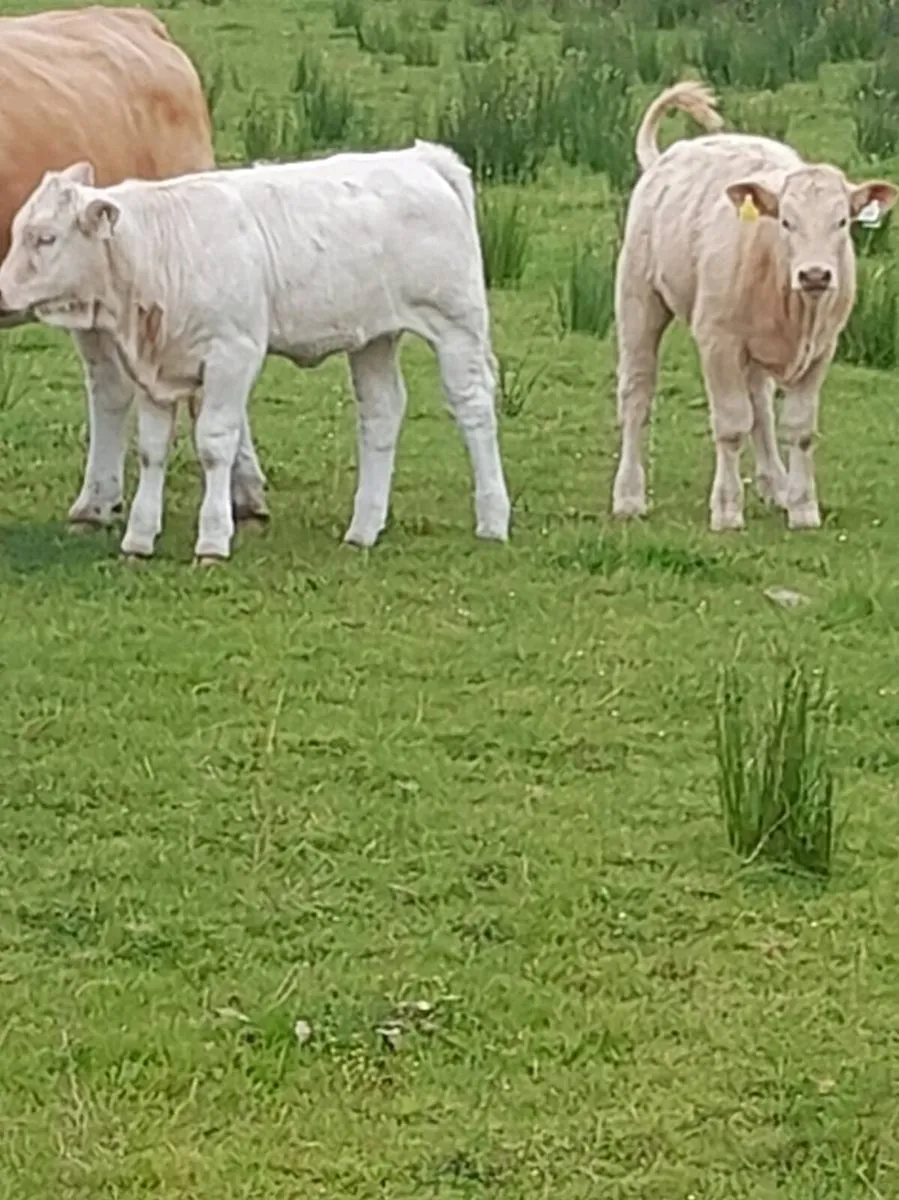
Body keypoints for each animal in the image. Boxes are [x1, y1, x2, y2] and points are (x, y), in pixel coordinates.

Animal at [0, 142, 512, 563]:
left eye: (45, 238)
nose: (2, 296)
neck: (161, 248)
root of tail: (421, 158)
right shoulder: (154, 366)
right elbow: (151, 450)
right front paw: (139, 539)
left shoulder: (233, 353)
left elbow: (213, 444)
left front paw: (212, 541)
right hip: (373, 337)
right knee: (381, 413)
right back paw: (363, 529)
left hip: (456, 324)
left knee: (473, 406)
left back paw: (493, 519)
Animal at [611, 79, 898, 533]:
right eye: (786, 222)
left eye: (841, 222)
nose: (815, 275)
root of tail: (667, 158)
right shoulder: (718, 342)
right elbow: (731, 425)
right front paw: (728, 509)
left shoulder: (822, 350)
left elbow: (798, 428)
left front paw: (802, 507)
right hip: (638, 301)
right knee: (637, 395)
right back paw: (628, 496)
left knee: (760, 404)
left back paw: (775, 485)